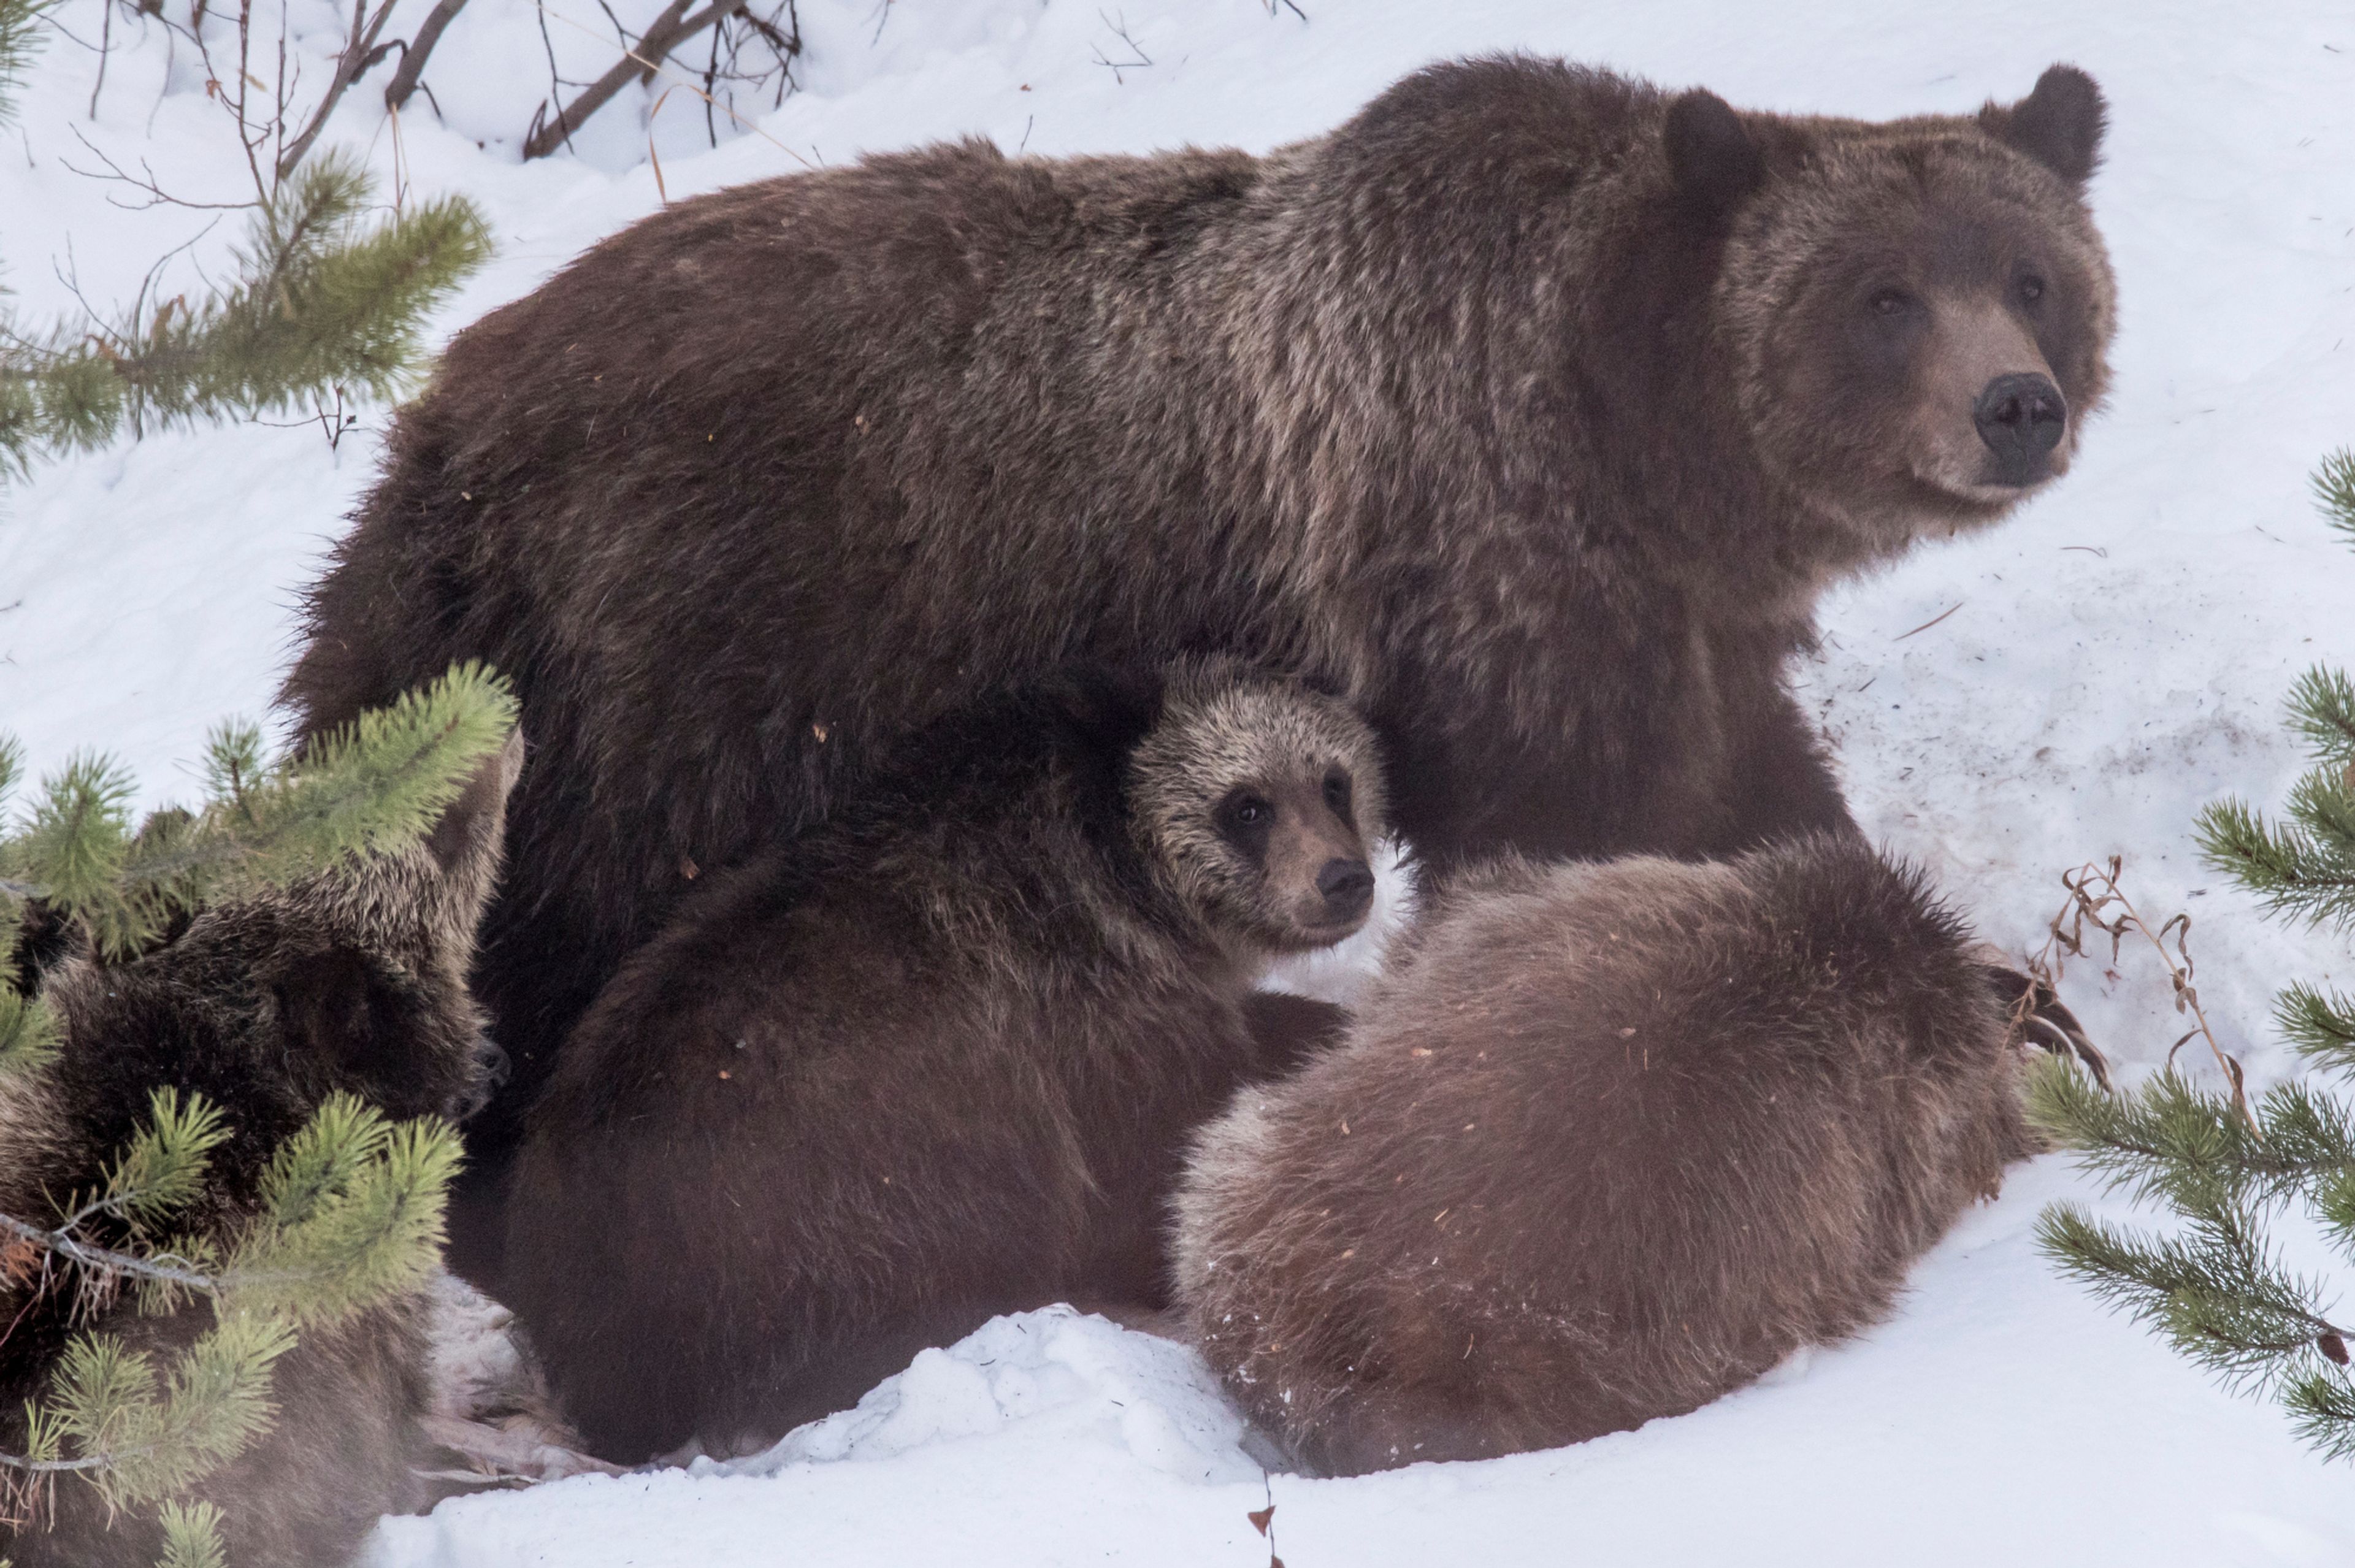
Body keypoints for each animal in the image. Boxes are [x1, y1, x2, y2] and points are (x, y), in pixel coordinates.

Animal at [285, 64, 2129, 1280]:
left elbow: (1751, 793)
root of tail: (435, 423)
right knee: (568, 922)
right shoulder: (1484, 561)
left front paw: (2015, 993)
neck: (1639, 439)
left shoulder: (1667, 617)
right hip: (689, 657)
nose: (2015, 406)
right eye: (1883, 296)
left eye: (2030, 272)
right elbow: (1583, 829)